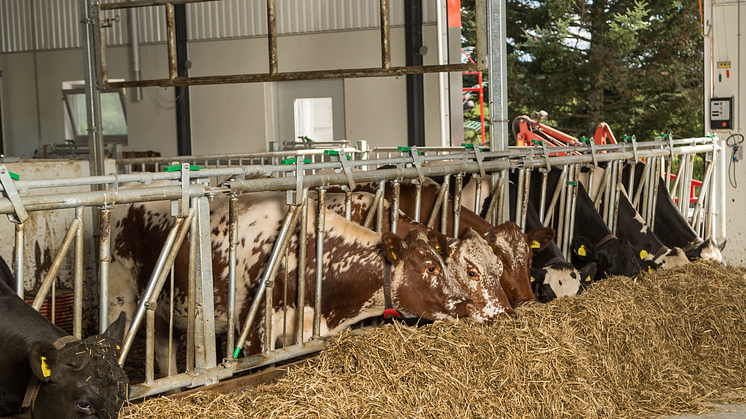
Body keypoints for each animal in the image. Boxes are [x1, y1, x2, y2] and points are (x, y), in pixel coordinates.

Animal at [108, 190, 474, 378]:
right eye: (431, 268)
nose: (468, 305)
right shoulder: (254, 333)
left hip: (168, 309)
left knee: (164, 353)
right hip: (121, 296)